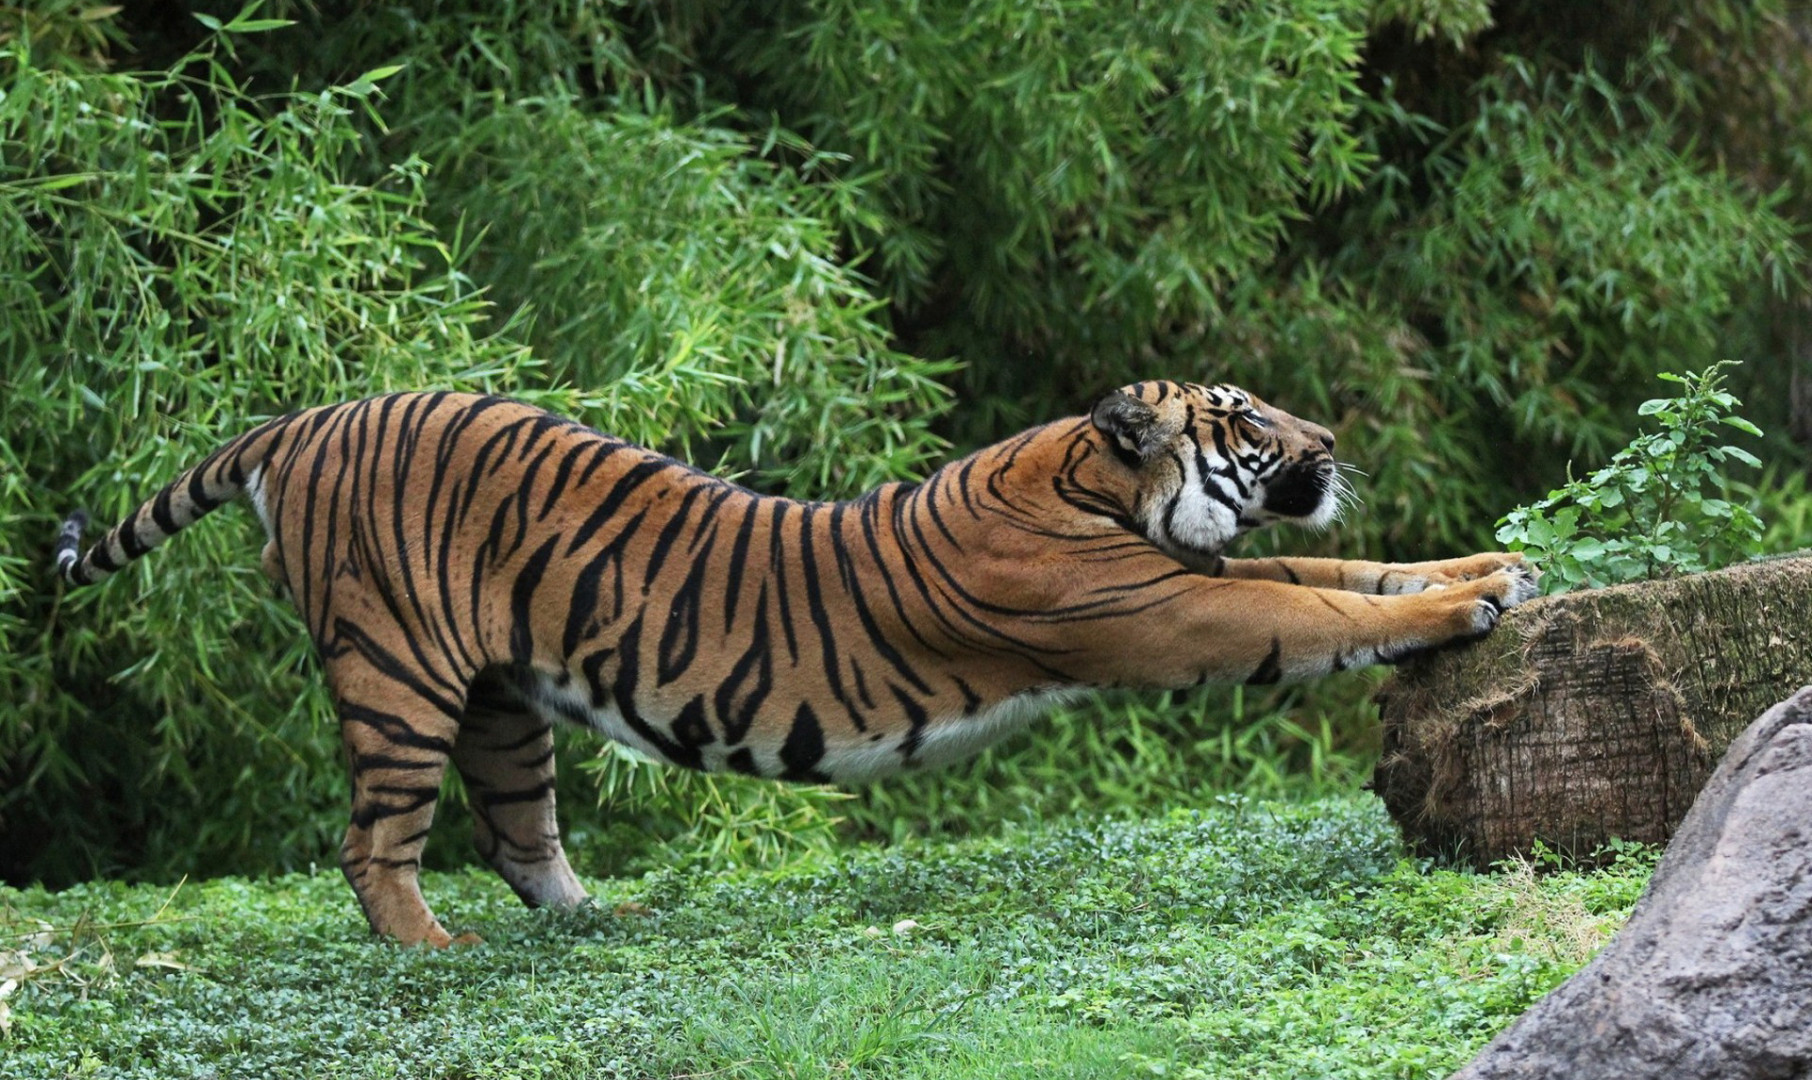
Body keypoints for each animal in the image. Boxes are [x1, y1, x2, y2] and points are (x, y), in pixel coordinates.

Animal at [49, 382, 1536, 942]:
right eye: (1245, 419)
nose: (1332, 441)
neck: (1090, 485)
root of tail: (301, 418)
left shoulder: (1198, 575)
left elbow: (1347, 575)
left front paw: (1492, 567)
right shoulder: (1170, 610)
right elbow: (1319, 614)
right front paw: (1467, 606)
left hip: (501, 701)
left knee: (520, 832)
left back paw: (597, 919)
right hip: (398, 677)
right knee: (376, 843)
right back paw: (431, 946)